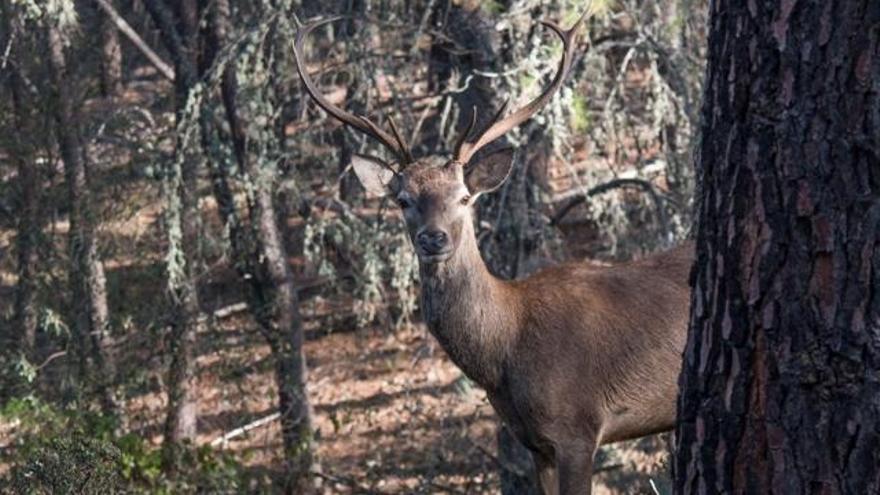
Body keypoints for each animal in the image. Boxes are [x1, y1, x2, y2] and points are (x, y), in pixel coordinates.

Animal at [296, 12, 696, 495]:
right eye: (403, 200)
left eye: (465, 196)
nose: (433, 239)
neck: (505, 352)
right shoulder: (534, 442)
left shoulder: (579, 426)